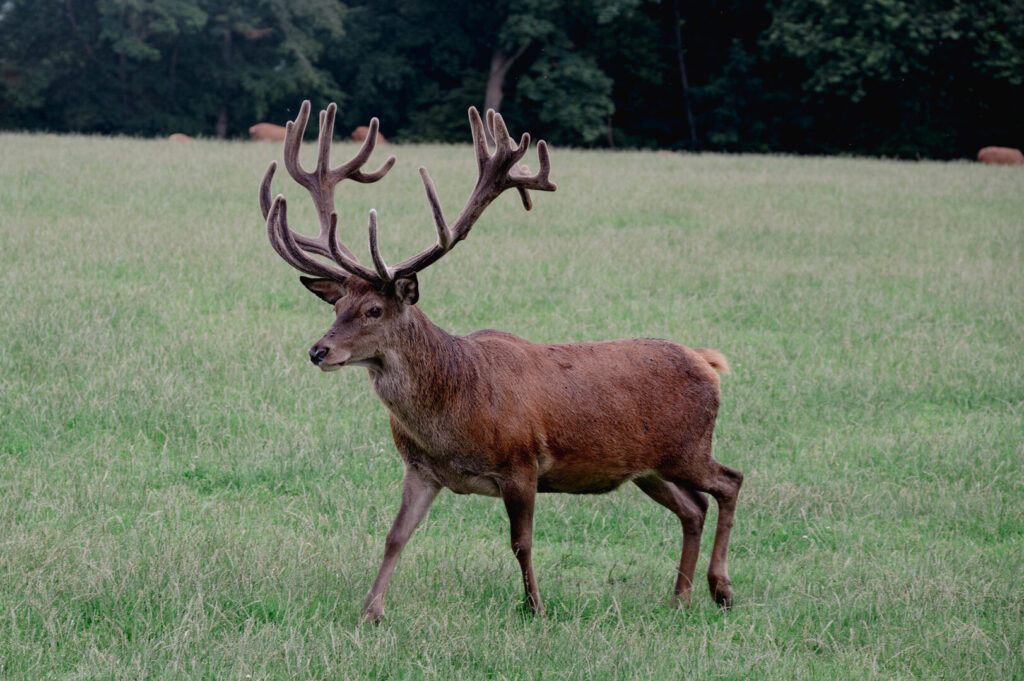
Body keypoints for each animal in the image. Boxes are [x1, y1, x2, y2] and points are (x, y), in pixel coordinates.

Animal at [256, 98, 745, 622]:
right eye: (336, 306)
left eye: (373, 310)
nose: (318, 350)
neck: (451, 414)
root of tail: (707, 361)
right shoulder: (420, 469)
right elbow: (395, 537)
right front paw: (370, 611)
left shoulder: (522, 462)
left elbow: (521, 542)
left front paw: (536, 606)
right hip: (649, 467)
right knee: (693, 508)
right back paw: (680, 596)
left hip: (689, 447)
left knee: (730, 482)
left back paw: (720, 588)